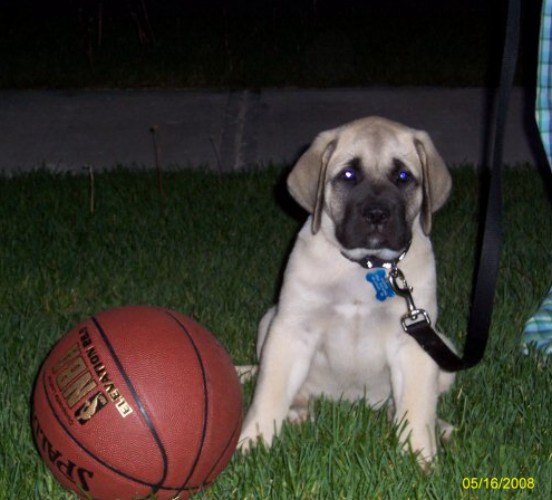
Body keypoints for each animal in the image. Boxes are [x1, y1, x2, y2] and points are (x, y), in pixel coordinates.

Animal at [239, 116, 454, 464]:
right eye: (349, 175)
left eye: (403, 177)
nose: (377, 214)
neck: (365, 268)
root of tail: (349, 401)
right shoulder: (292, 330)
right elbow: (269, 394)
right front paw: (253, 444)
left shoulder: (413, 341)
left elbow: (417, 405)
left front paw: (418, 458)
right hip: (268, 323)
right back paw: (298, 411)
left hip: (441, 344)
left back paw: (437, 425)